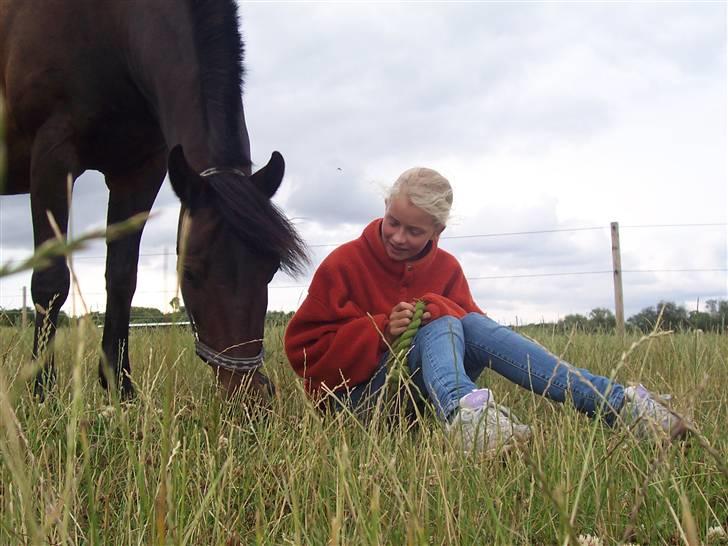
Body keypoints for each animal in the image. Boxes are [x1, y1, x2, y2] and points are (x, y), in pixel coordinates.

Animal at [0, 0, 308, 400]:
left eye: (270, 269)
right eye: (188, 272)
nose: (250, 393)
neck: (107, 27)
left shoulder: (140, 171)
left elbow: (121, 279)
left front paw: (121, 388)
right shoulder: (52, 154)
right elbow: (51, 280)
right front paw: (43, 392)